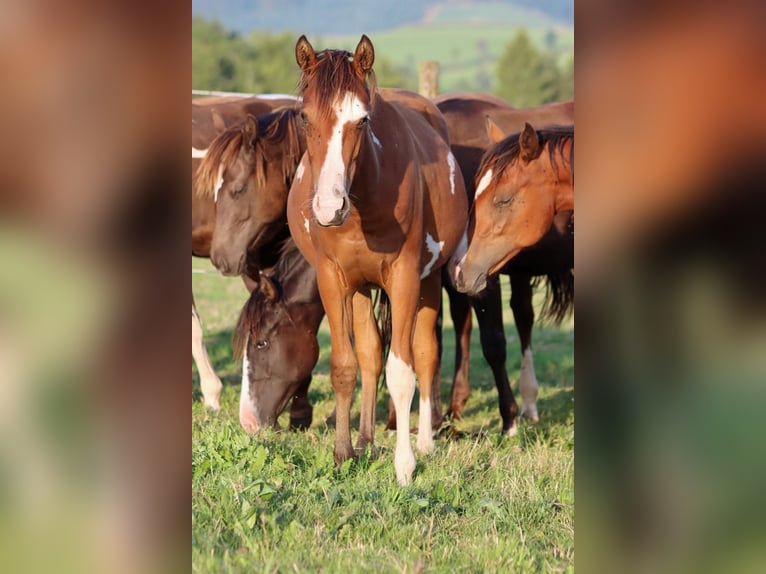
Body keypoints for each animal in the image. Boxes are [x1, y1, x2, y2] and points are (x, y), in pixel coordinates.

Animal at [287, 35, 467, 485]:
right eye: (304, 116)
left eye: (363, 120)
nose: (329, 207)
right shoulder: (333, 280)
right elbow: (345, 366)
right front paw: (343, 454)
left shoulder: (403, 279)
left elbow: (401, 371)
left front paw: (405, 466)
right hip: (361, 289)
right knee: (369, 354)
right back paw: (366, 441)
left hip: (427, 283)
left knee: (424, 353)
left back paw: (424, 442)